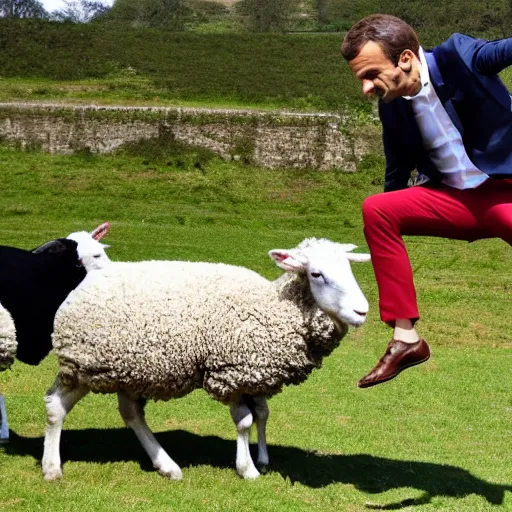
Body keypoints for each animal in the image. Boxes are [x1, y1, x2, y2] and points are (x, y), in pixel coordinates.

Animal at [41, 239, 368, 480]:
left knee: (131, 414)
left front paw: (262, 458)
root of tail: (87, 281)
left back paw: (167, 465)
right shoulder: (228, 371)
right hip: (83, 363)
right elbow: (245, 421)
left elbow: (263, 414)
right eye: (316, 274)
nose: (362, 311)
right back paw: (52, 468)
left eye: (349, 270)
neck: (273, 306)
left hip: (128, 368)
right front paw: (247, 469)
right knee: (56, 405)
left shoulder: (254, 372)